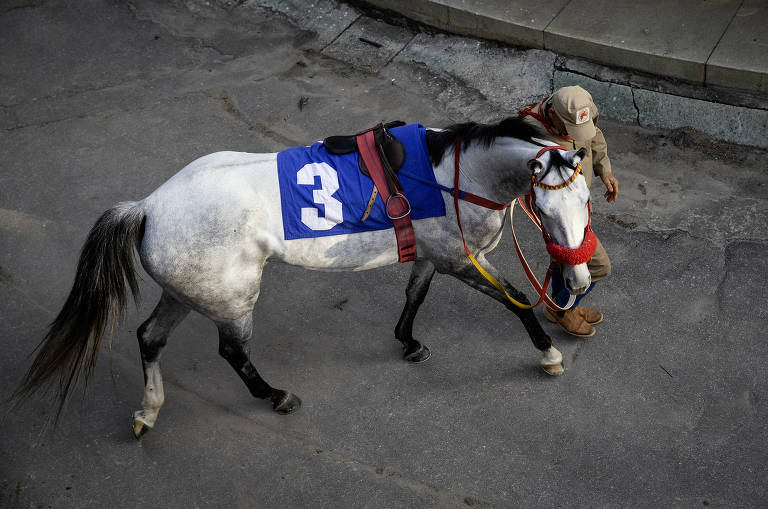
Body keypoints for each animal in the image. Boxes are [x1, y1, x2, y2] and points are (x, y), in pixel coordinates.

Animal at [14, 117, 593, 438]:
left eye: (586, 200)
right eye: (546, 207)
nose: (579, 280)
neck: (451, 175)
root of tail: (150, 207)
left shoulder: (433, 256)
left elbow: (414, 294)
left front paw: (407, 342)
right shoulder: (459, 259)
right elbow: (515, 299)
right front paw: (548, 353)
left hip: (184, 292)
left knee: (149, 337)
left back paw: (148, 411)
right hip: (231, 300)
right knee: (233, 352)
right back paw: (275, 395)